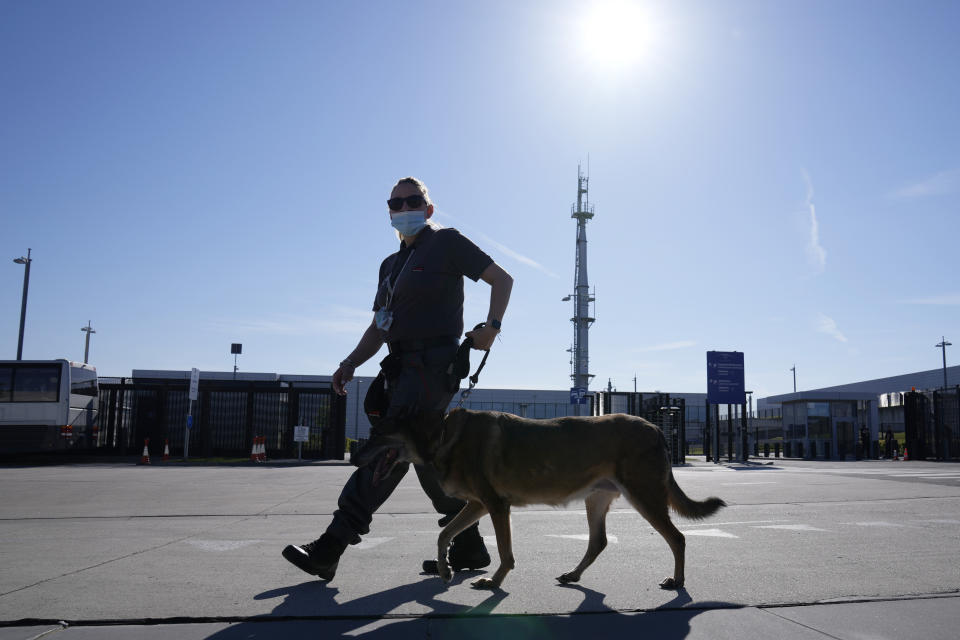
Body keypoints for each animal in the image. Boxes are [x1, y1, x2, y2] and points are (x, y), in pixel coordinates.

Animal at [358, 410, 720, 592]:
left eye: (379, 431)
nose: (357, 454)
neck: (444, 434)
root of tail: (655, 428)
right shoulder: (478, 505)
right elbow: (444, 533)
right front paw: (446, 570)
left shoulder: (495, 505)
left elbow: (505, 553)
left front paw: (493, 581)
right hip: (597, 499)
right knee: (598, 541)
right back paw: (573, 575)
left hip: (644, 496)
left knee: (677, 538)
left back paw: (677, 581)